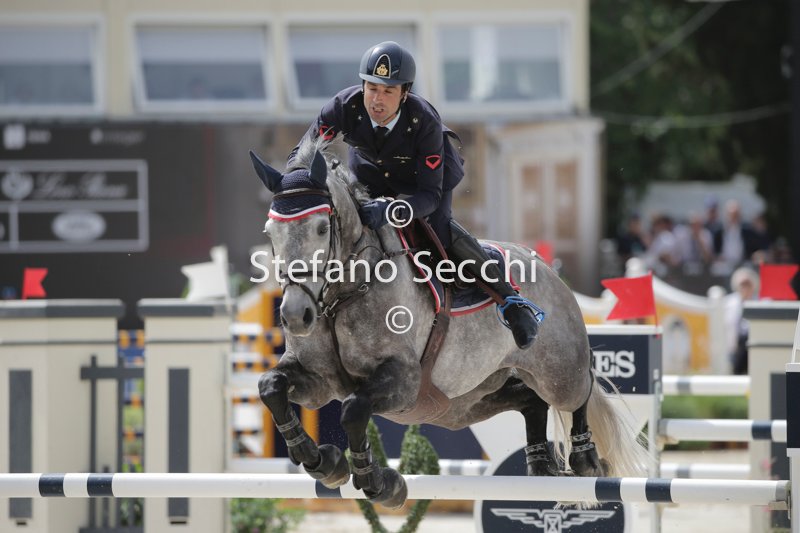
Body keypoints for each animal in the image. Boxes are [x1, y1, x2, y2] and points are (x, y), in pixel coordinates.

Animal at [249, 138, 648, 509]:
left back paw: (586, 459)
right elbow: (271, 386)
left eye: (321, 228)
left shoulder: (403, 379)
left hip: (556, 373)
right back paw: (540, 466)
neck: (343, 294)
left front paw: (379, 483)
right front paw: (321, 461)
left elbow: (353, 410)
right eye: (269, 232)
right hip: (468, 400)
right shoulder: (319, 380)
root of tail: (549, 269)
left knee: (579, 390)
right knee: (530, 401)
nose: (295, 315)